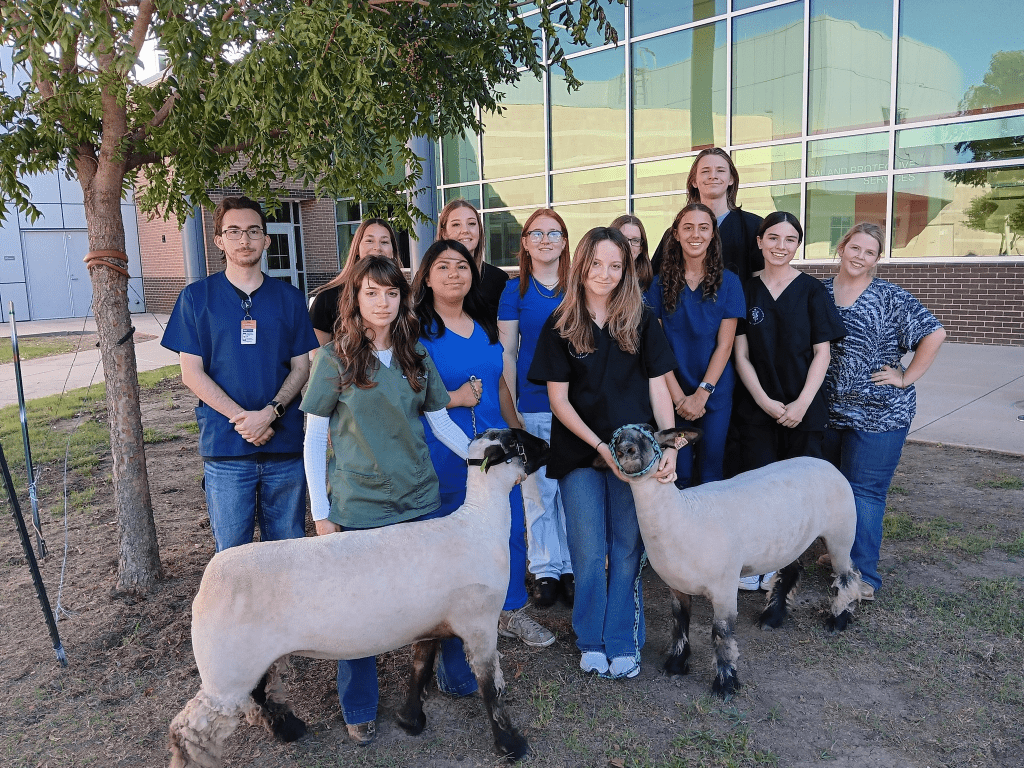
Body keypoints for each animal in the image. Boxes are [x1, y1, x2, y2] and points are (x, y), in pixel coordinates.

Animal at [169, 430, 552, 765]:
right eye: (516, 440)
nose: (548, 445)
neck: (479, 525)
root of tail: (209, 579)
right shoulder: (479, 624)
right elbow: (491, 689)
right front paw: (511, 746)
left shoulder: (430, 622)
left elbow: (420, 667)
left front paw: (410, 720)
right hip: (225, 670)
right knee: (188, 728)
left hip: (253, 658)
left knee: (262, 690)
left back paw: (290, 730)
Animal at [606, 423, 864, 700]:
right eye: (616, 438)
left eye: (646, 433)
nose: (626, 450)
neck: (684, 514)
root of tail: (825, 463)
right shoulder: (676, 585)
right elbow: (679, 622)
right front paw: (675, 665)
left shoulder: (724, 586)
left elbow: (721, 633)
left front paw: (725, 684)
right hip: (791, 542)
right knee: (792, 571)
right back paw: (772, 618)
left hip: (841, 531)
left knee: (848, 576)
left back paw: (837, 621)